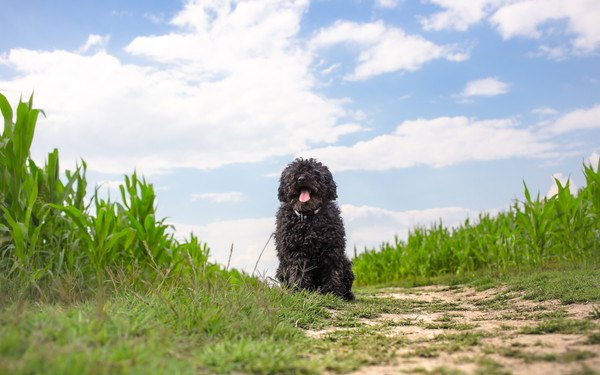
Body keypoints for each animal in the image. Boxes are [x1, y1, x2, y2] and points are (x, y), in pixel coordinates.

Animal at [274, 157, 354, 302]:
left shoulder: (331, 250)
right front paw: (300, 291)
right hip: (281, 269)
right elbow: (299, 272)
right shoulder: (296, 252)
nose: (301, 179)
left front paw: (332, 293)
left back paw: (347, 295)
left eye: (314, 172)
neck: (309, 217)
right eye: (293, 173)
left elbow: (333, 273)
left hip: (346, 264)